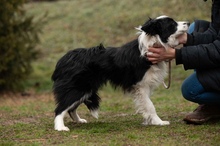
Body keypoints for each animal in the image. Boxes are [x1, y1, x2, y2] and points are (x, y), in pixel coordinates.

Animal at [52, 15, 189, 131]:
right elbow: (150, 105)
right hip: (79, 87)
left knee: (71, 108)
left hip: (85, 89)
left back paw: (79, 120)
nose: (188, 23)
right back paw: (60, 127)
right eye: (172, 24)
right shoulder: (140, 85)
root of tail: (64, 59)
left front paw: (149, 120)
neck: (153, 43)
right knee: (60, 108)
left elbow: (146, 104)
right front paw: (159, 122)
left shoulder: (146, 86)